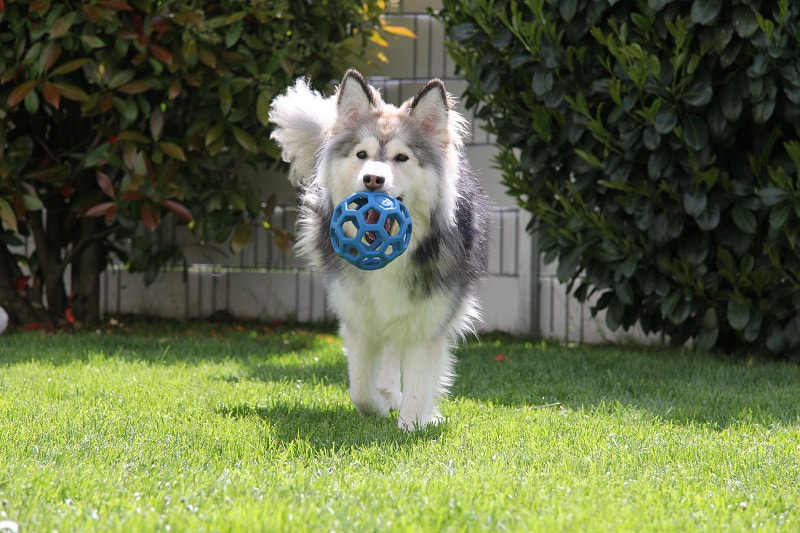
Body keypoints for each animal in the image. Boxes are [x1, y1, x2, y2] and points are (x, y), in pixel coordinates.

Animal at [270, 69, 488, 428]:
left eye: (401, 158)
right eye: (362, 155)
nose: (373, 179)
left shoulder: (429, 317)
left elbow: (419, 378)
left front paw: (413, 423)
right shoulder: (358, 314)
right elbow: (360, 389)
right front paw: (380, 405)